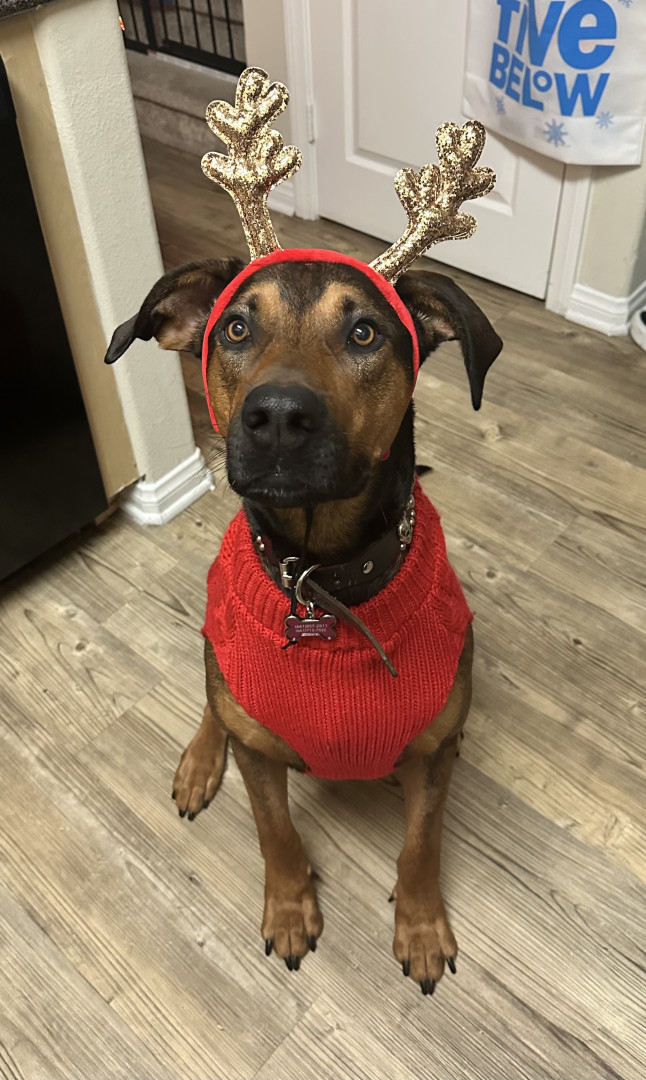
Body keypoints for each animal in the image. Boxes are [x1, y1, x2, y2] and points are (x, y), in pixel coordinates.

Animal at [106, 250, 502, 995]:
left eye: (364, 333)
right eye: (235, 327)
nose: (281, 417)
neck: (323, 584)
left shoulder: (434, 754)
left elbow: (421, 843)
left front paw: (421, 927)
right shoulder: (259, 755)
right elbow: (276, 832)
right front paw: (290, 910)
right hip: (216, 647)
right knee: (214, 700)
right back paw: (200, 760)